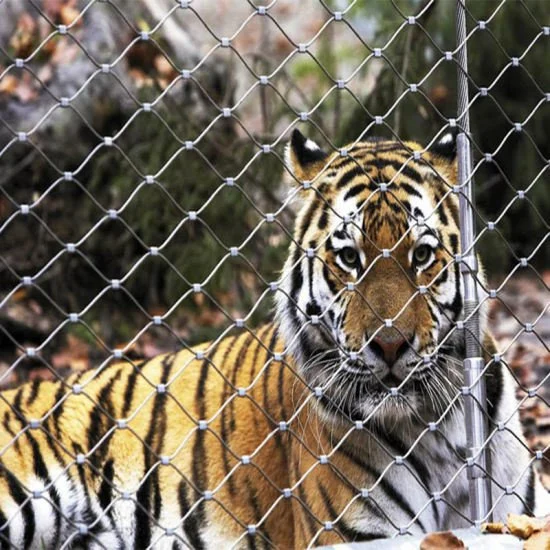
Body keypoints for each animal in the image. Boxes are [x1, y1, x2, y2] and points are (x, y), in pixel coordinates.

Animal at [1, 130, 550, 550]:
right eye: (349, 258)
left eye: (421, 255)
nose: (391, 345)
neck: (439, 428)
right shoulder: (352, 535)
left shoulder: (521, 514)